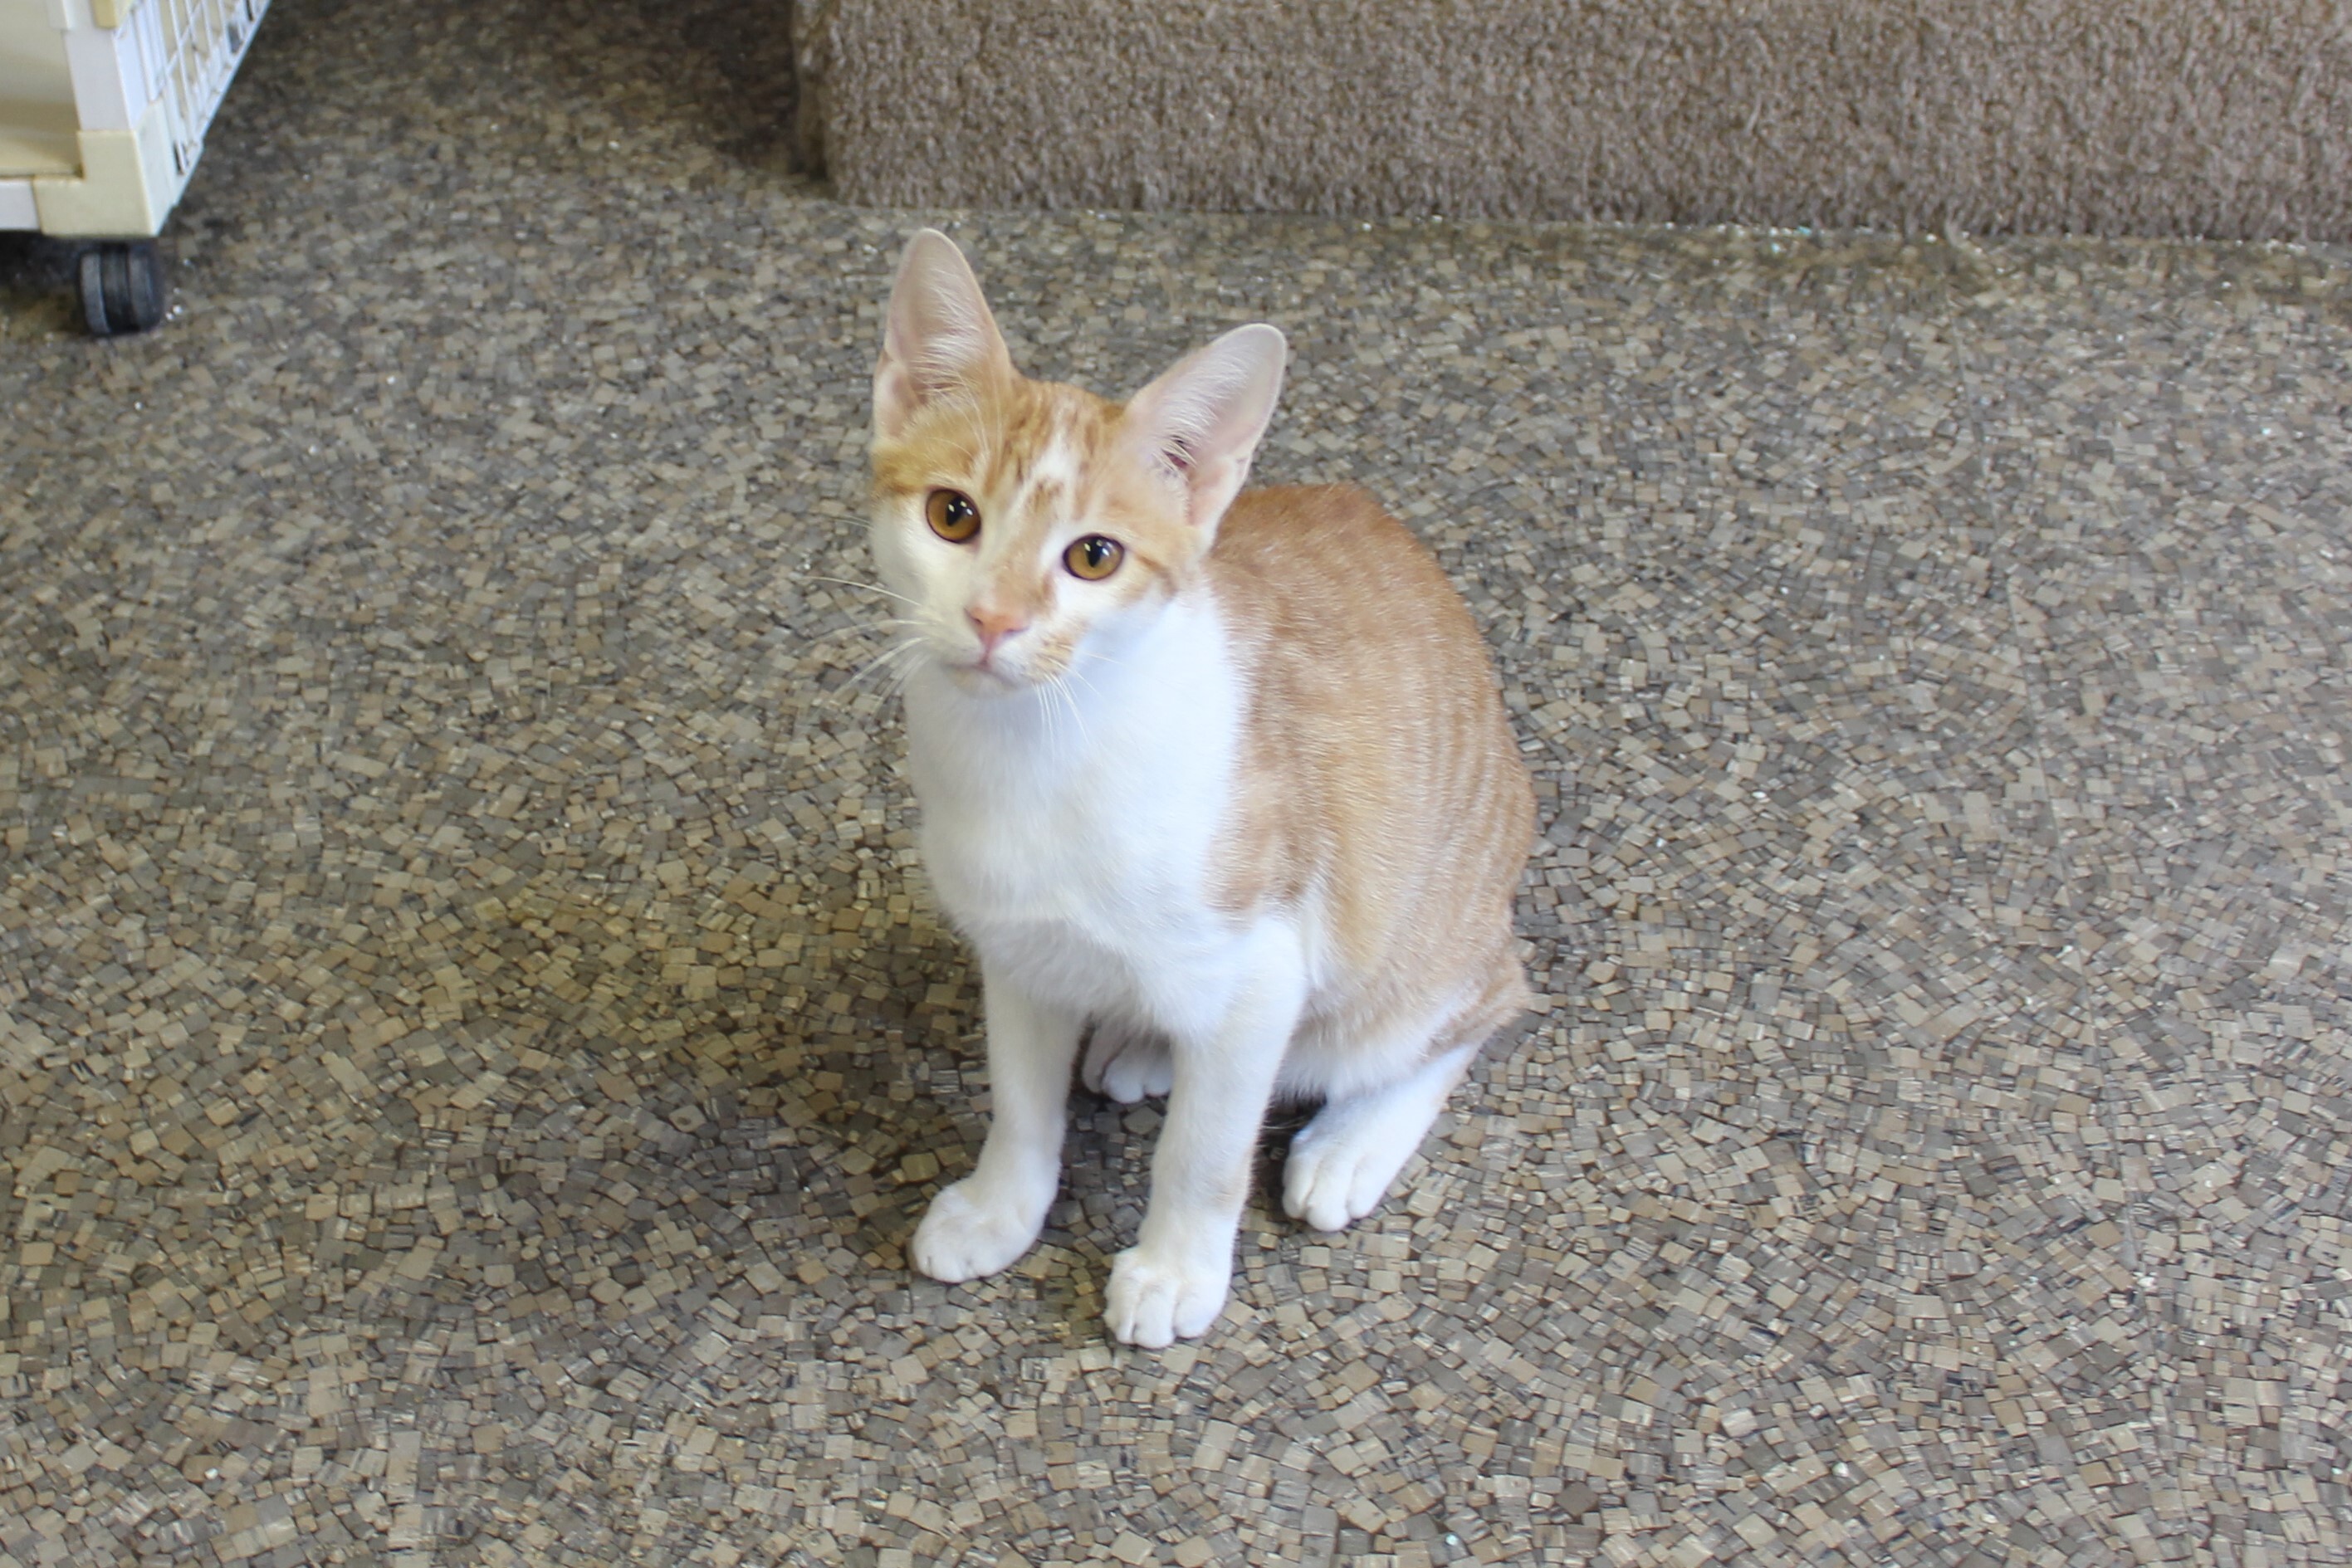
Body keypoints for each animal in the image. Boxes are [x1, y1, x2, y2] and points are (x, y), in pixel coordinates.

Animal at [874, 232, 1533, 1354]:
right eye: (951, 514)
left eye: (1092, 556)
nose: (997, 619)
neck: (1033, 755)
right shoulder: (1016, 947)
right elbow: (1021, 1098)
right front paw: (1004, 1204)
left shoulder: (1266, 959)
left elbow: (1204, 1150)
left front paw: (1177, 1265)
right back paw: (1141, 1038)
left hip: (1416, 949)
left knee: (1460, 1015)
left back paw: (1352, 1139)